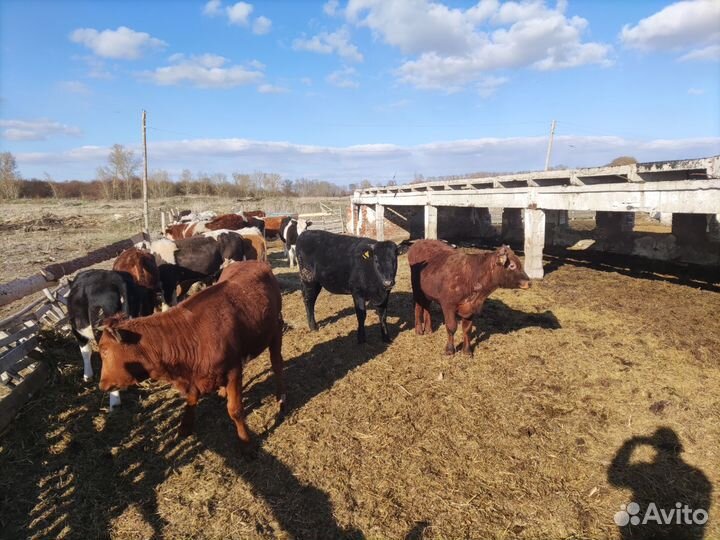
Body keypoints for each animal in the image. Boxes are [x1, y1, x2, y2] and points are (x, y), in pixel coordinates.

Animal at [97, 260, 286, 445]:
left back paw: (280, 398)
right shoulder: (193, 378)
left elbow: (235, 410)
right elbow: (191, 401)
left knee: (277, 364)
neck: (189, 335)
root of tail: (254, 262)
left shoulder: (233, 371)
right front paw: (184, 428)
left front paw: (245, 441)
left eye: (104, 351)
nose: (102, 385)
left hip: (276, 329)